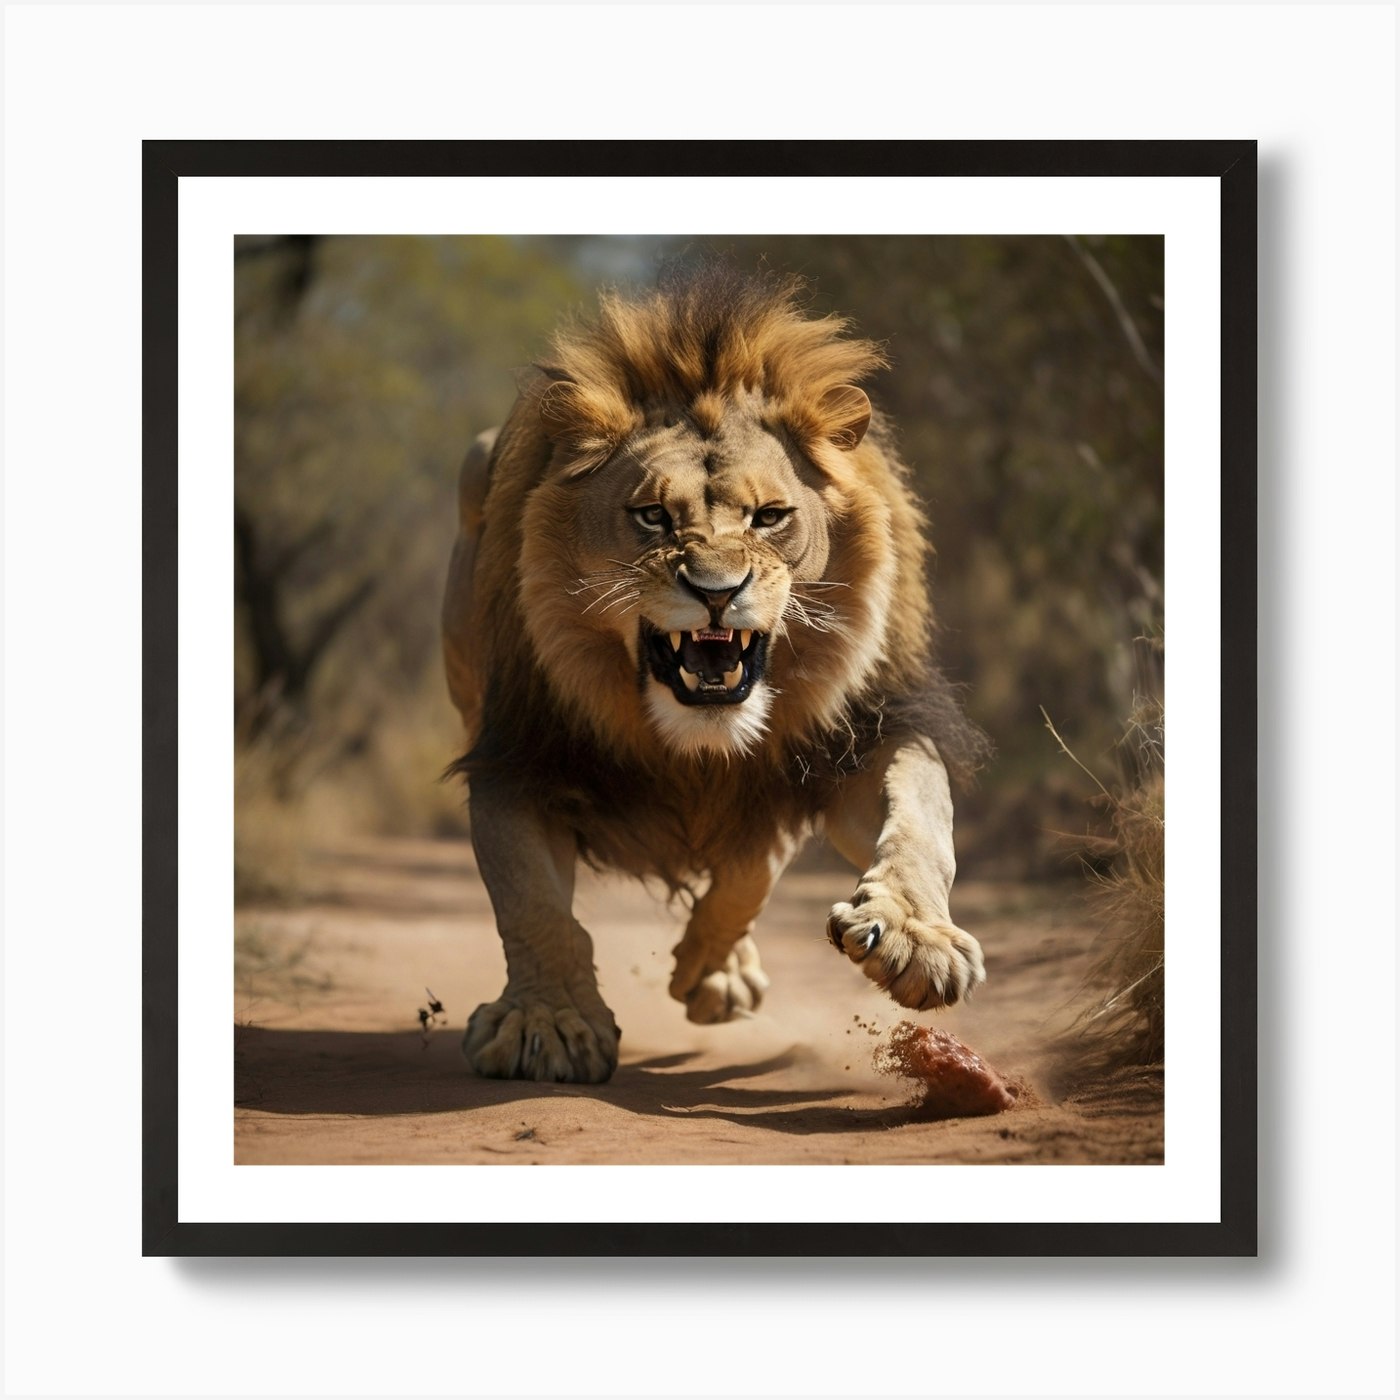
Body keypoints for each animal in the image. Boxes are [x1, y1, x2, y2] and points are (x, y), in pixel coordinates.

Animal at [442, 265, 991, 1083]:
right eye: (651, 517)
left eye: (769, 517)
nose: (715, 589)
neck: (695, 741)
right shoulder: (517, 752)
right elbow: (530, 900)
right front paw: (548, 1021)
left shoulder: (856, 738)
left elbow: (918, 822)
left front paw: (911, 940)